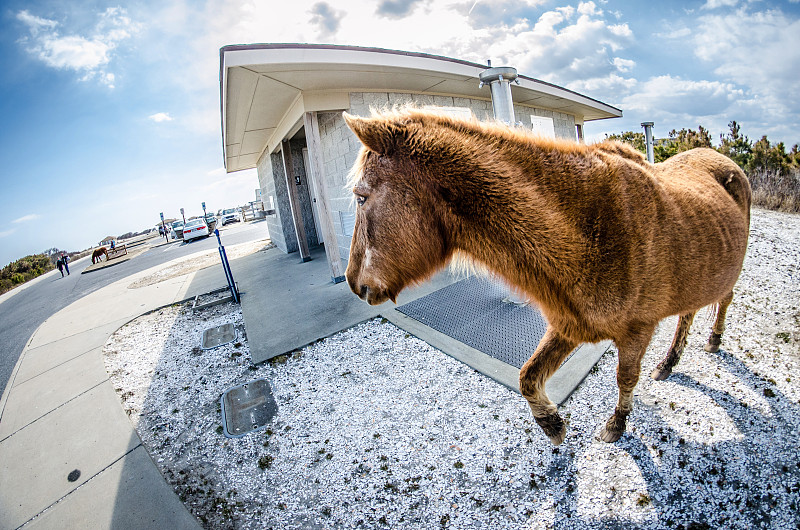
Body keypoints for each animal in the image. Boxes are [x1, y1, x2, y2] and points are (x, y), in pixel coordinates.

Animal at [342, 109, 752, 444]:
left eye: (361, 197)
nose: (352, 282)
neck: (591, 232)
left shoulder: (638, 329)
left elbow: (625, 377)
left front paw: (616, 425)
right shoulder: (569, 325)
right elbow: (527, 376)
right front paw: (552, 423)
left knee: (722, 301)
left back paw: (713, 341)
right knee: (689, 312)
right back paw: (669, 363)